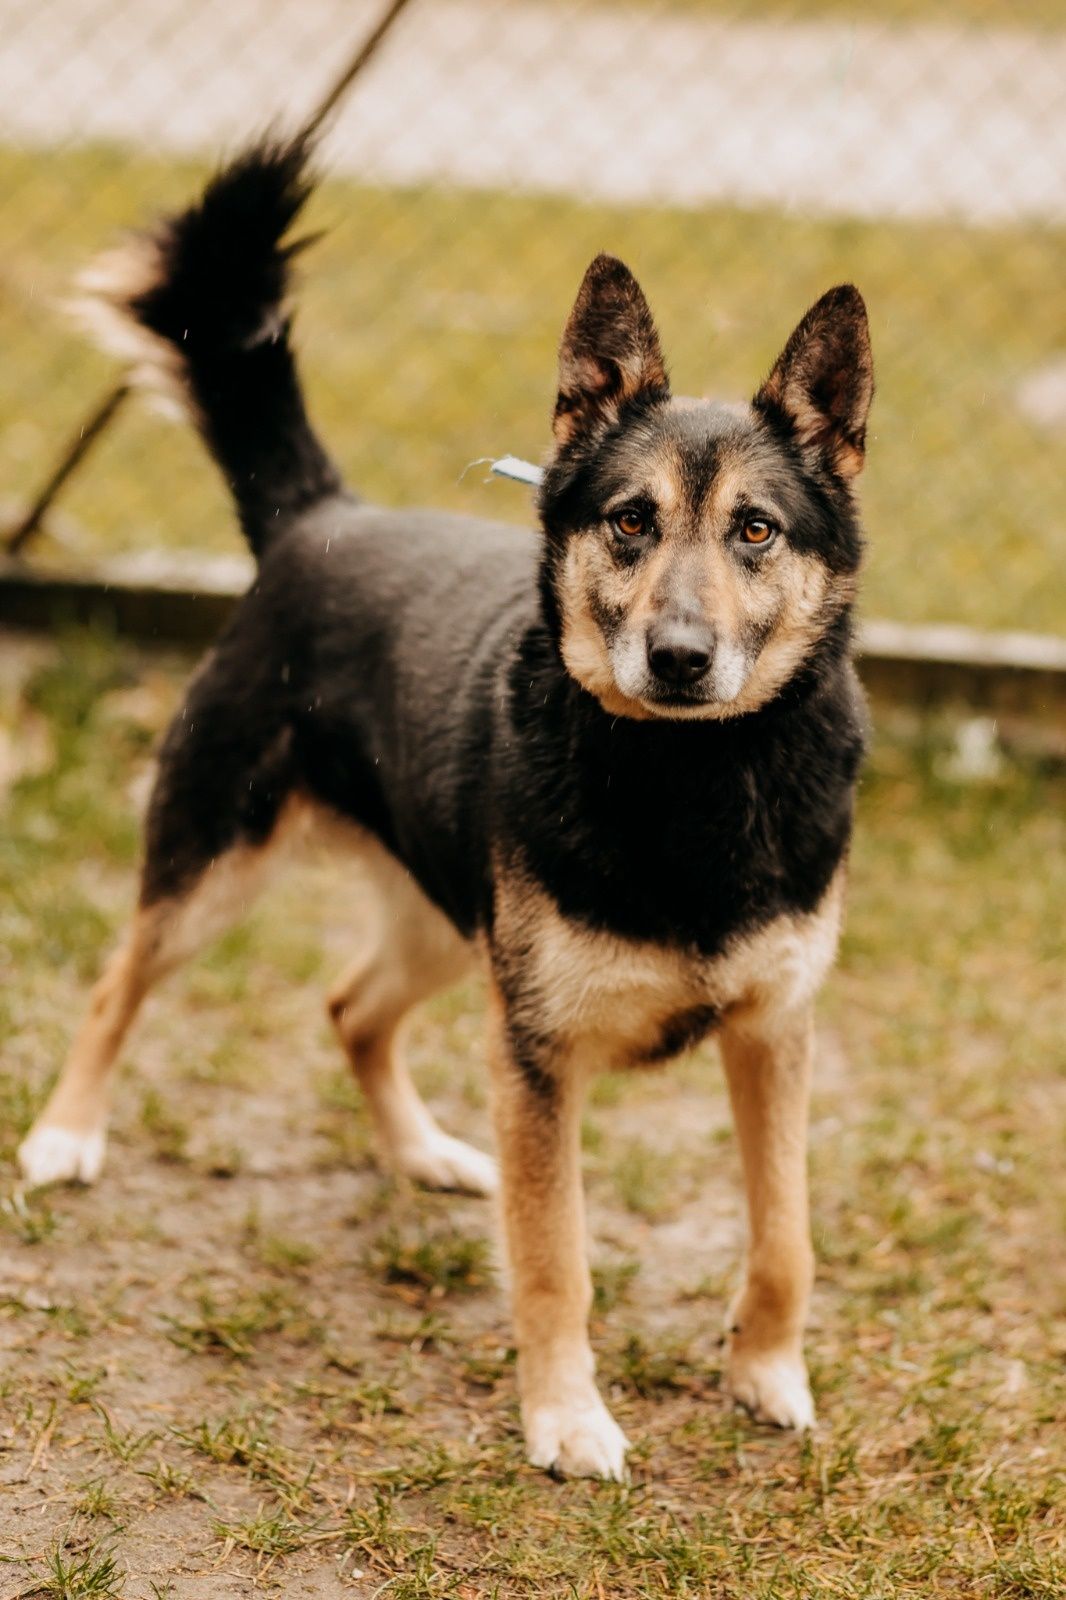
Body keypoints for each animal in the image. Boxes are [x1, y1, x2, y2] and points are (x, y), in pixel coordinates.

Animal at [18, 134, 870, 1472]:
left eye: (755, 529)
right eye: (629, 521)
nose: (679, 659)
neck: (688, 777)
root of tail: (319, 518)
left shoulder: (774, 1028)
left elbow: (785, 1232)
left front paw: (765, 1370)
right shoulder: (537, 1052)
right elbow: (554, 1254)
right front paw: (566, 1416)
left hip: (446, 914)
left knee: (352, 1007)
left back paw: (418, 1153)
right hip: (220, 862)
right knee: (122, 979)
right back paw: (66, 1132)